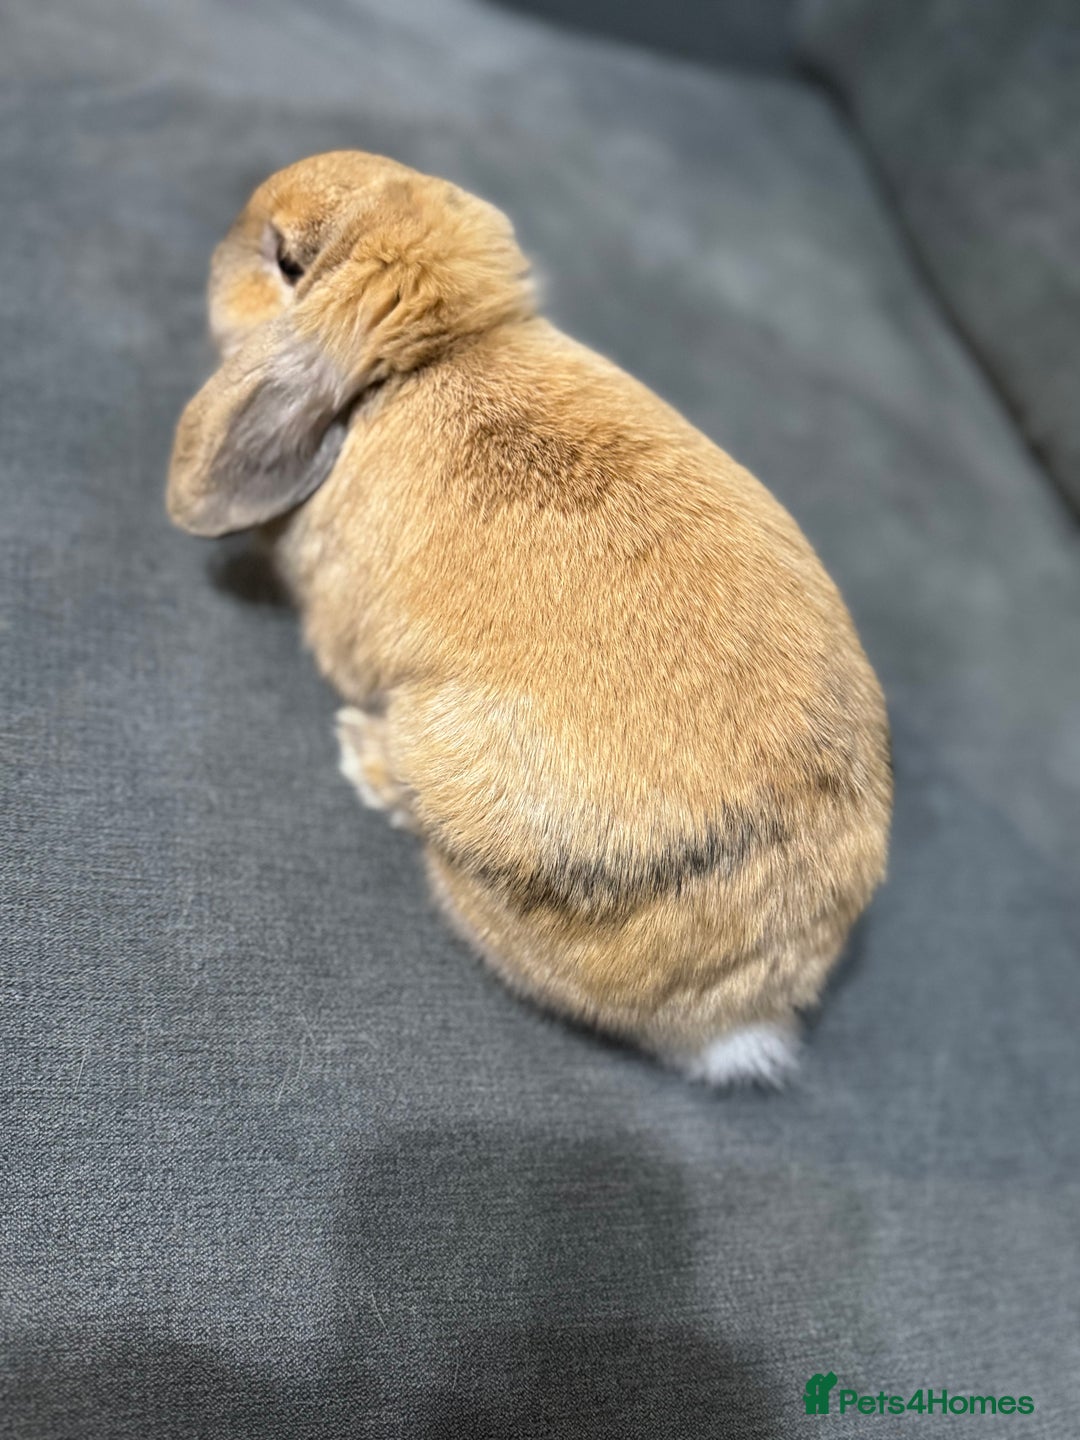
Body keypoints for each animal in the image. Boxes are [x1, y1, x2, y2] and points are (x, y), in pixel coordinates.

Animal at [167, 150, 892, 1086]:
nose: (218, 248)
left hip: (449, 752)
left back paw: (363, 759)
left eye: (288, 260)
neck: (434, 356)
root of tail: (749, 1002)